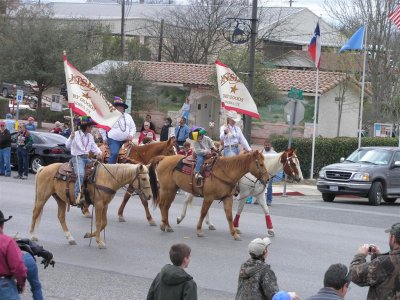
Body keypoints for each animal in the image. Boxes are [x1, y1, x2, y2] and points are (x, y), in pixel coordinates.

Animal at [176, 149, 304, 236]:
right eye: (293, 163)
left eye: (298, 162)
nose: (300, 178)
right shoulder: (244, 194)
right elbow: (240, 210)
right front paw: (235, 226)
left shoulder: (260, 195)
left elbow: (266, 210)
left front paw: (270, 229)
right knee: (187, 200)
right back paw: (181, 217)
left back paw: (209, 223)